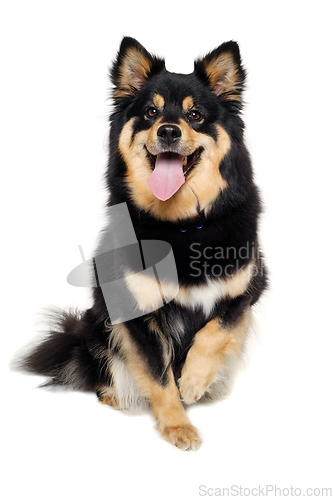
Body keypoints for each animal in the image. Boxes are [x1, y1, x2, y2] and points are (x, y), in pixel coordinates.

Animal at [18, 37, 268, 452]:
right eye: (151, 112)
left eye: (196, 115)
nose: (168, 131)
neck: (181, 227)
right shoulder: (135, 309)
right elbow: (159, 376)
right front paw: (177, 425)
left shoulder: (246, 288)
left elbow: (215, 332)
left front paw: (194, 381)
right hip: (97, 326)